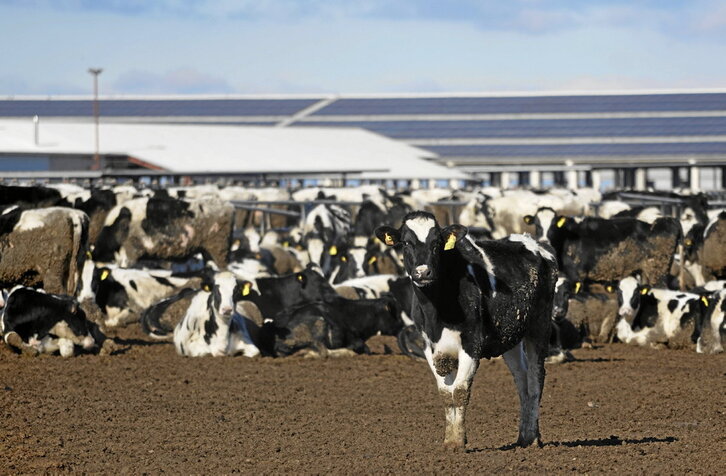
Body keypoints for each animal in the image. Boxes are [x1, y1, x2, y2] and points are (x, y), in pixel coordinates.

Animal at [378, 212, 560, 450]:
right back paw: (523, 437)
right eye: (406, 243)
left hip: (539, 326)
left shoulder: (472, 344)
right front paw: (449, 440)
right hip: (510, 336)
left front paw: (458, 441)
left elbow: (460, 391)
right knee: (522, 381)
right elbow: (446, 394)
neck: (438, 310)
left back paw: (533, 437)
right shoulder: (431, 348)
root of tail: (536, 244)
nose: (423, 272)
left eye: (436, 243)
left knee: (535, 378)